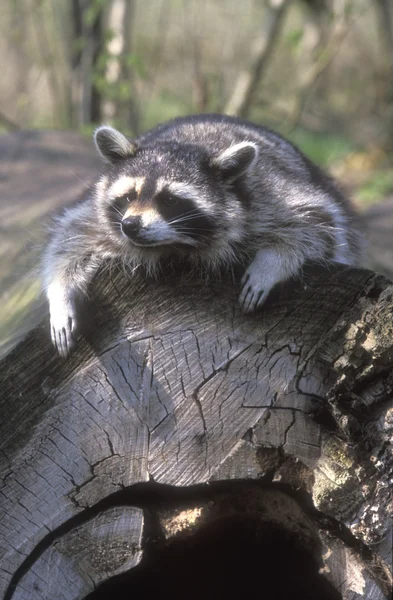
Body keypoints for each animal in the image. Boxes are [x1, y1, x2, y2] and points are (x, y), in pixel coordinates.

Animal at [41, 114, 362, 354]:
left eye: (170, 201)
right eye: (130, 196)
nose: (131, 225)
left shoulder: (270, 196)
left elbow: (317, 223)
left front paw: (272, 262)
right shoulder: (102, 220)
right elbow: (71, 238)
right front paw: (60, 295)